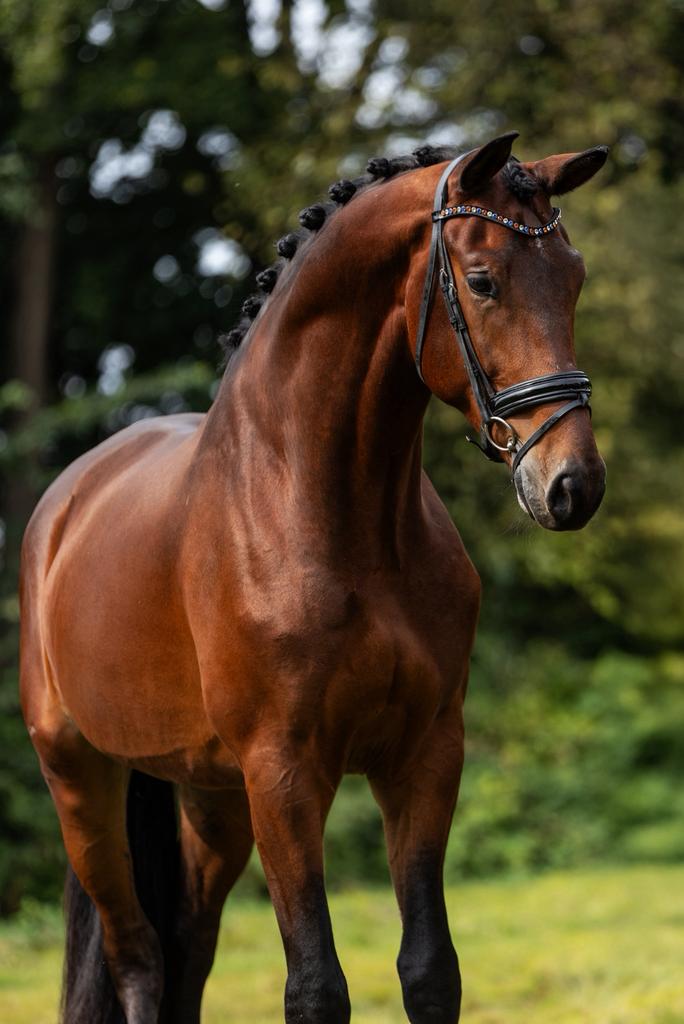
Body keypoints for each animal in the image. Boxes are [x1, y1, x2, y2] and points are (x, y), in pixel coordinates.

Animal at [20, 131, 607, 1024]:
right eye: (483, 281)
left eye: (573, 276)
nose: (573, 485)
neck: (335, 519)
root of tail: (66, 502)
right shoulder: (286, 772)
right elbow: (316, 987)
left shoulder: (425, 755)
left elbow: (430, 970)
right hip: (82, 780)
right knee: (138, 961)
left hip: (211, 800)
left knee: (186, 956)